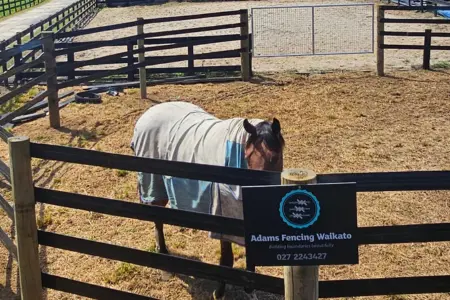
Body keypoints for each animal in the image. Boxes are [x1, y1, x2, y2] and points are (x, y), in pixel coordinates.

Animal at [130, 102, 284, 298]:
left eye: (275, 157)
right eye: (247, 156)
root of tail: (146, 115)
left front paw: (250, 289)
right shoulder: (223, 220)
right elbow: (226, 259)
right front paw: (219, 292)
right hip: (154, 186)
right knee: (157, 220)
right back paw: (165, 264)